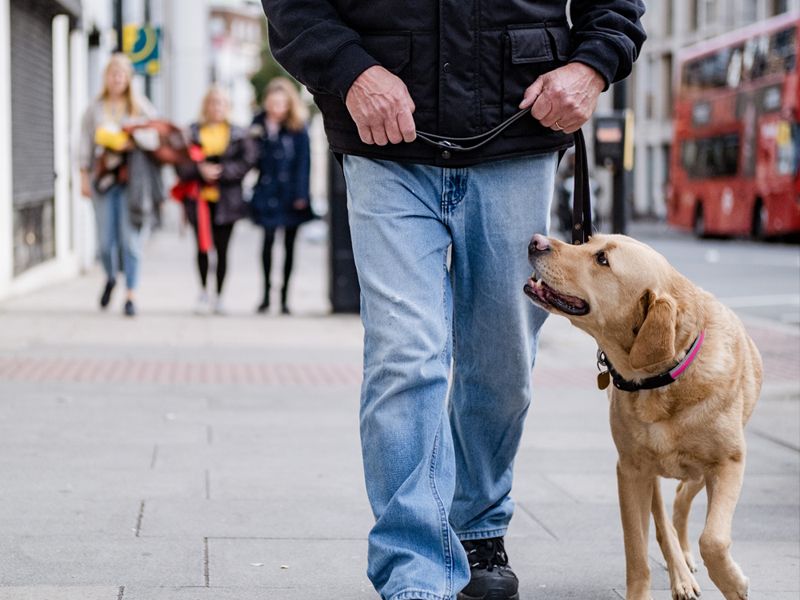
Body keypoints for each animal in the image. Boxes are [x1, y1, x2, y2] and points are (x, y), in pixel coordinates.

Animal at [524, 233, 764, 600]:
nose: (536, 241)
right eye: (588, 241)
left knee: (682, 501)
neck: (663, 379)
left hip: (700, 472)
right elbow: (637, 551)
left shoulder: (729, 463)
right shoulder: (630, 471)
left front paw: (733, 583)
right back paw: (680, 571)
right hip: (653, 472)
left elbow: (713, 539)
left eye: (602, 260)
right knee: (666, 520)